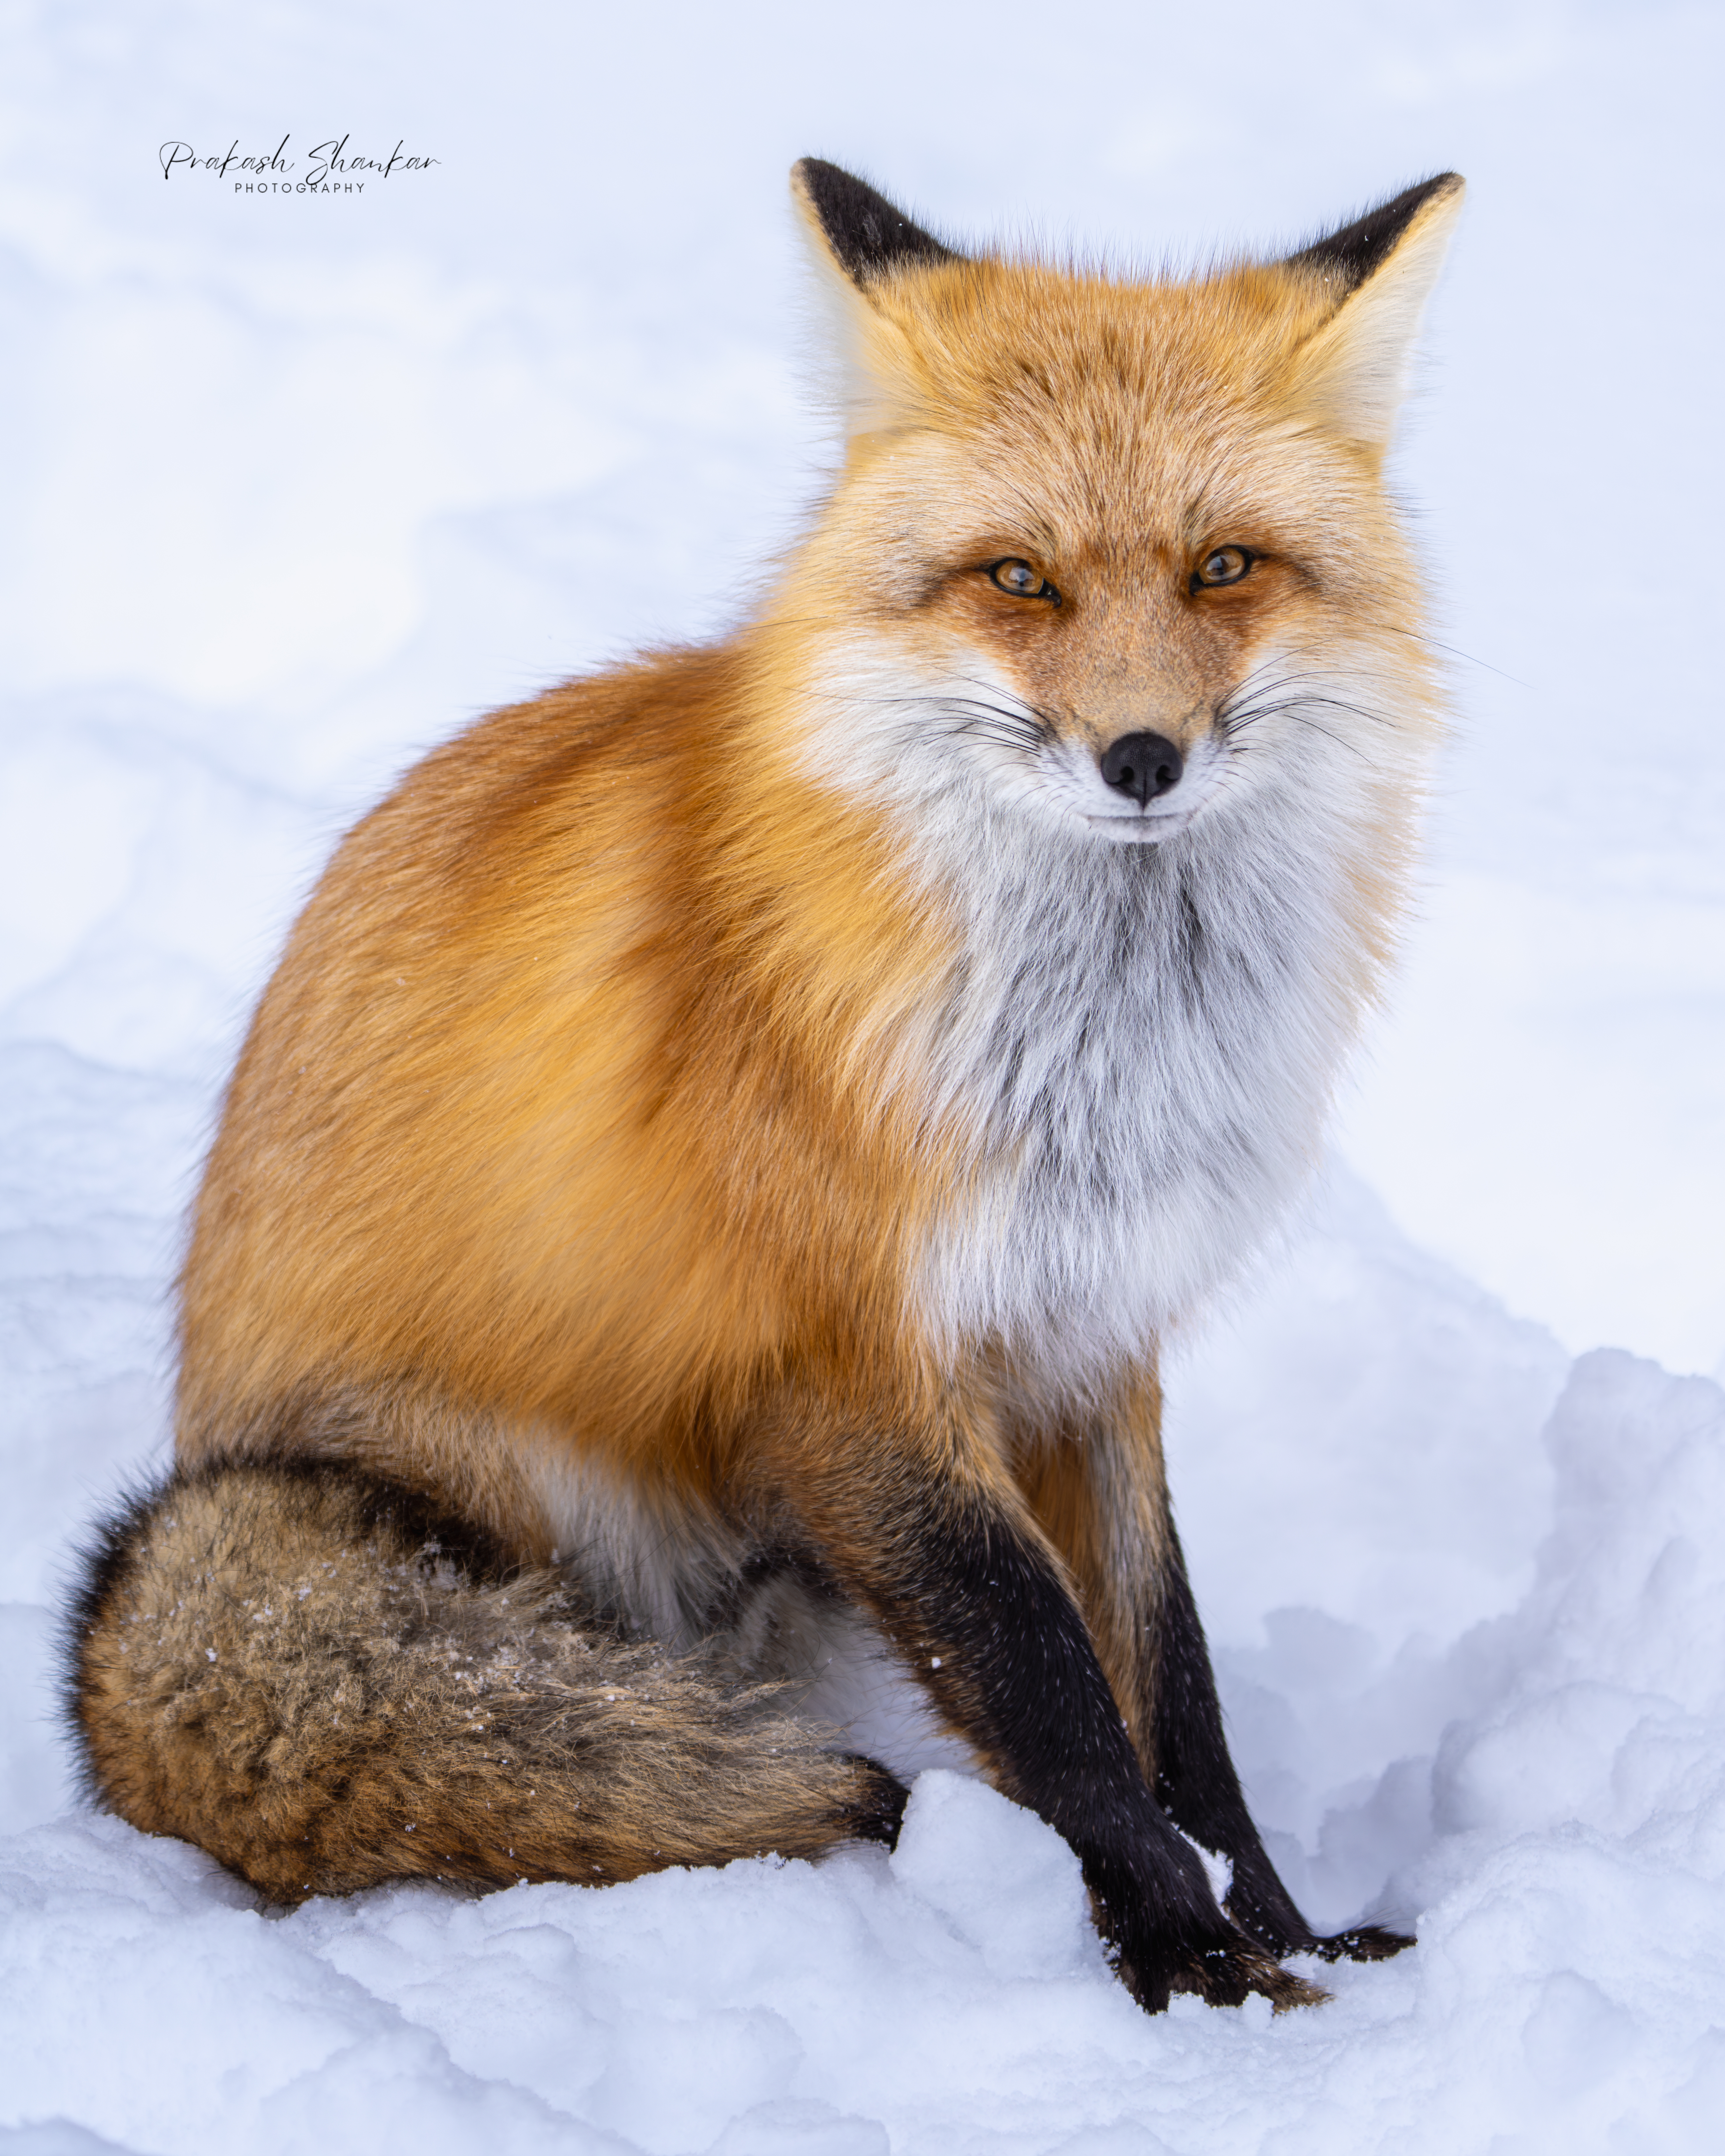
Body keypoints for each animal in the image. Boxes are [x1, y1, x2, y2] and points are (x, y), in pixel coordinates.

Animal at [66, 159, 1463, 2014]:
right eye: (1017, 578)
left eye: (1224, 565)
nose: (1141, 759)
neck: (1093, 1059)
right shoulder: (844, 1368)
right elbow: (1056, 1697)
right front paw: (1193, 1961)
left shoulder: (1092, 1343)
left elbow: (1177, 1695)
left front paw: (1283, 1925)